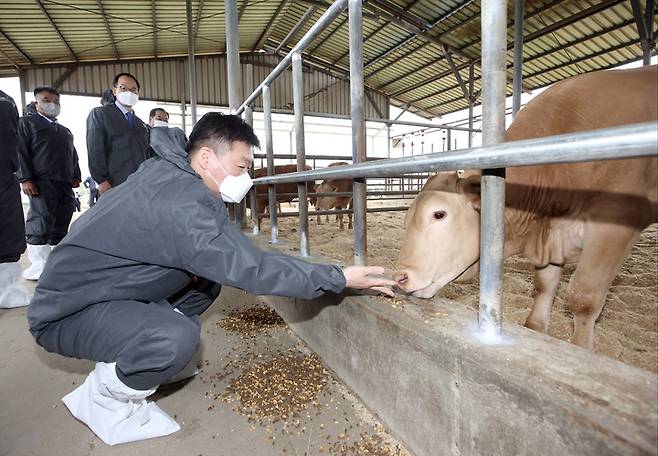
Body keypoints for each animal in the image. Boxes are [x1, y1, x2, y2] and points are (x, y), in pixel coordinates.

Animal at [392, 64, 652, 350]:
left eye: (439, 214)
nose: (399, 278)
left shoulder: (615, 222)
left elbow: (584, 296)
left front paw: (581, 348)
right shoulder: (552, 235)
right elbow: (544, 285)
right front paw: (536, 327)